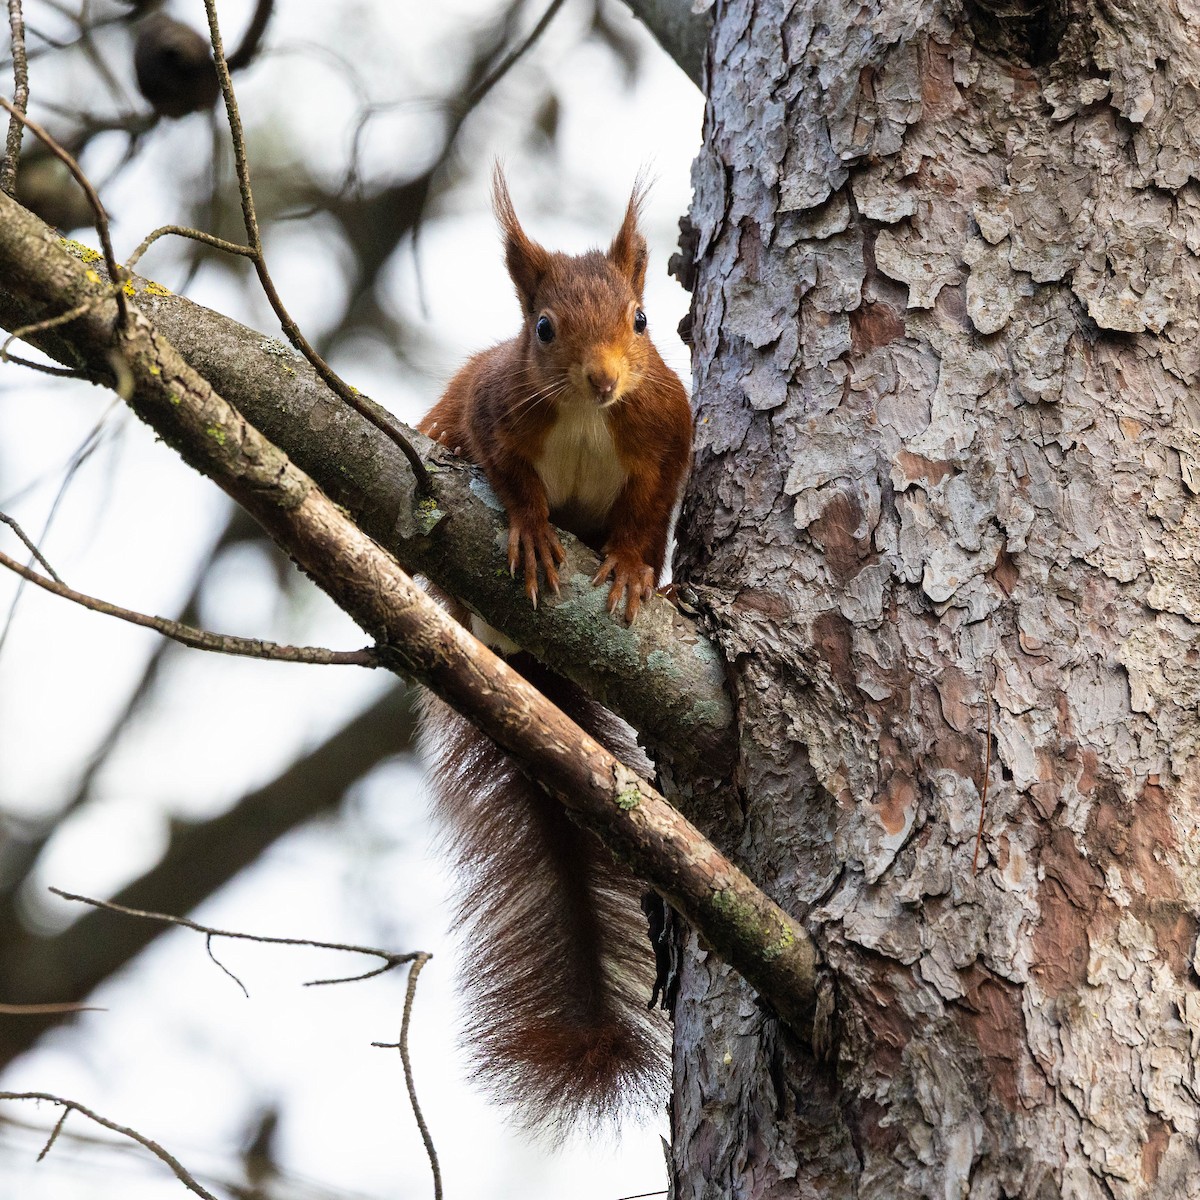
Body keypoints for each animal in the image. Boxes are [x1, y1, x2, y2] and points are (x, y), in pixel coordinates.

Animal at [417, 167, 692, 1137]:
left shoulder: (665, 439)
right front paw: (535, 532)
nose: (603, 379)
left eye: (642, 319)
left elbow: (647, 520)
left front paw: (631, 572)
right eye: (542, 328)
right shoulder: (493, 404)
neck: (582, 416)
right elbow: (506, 474)